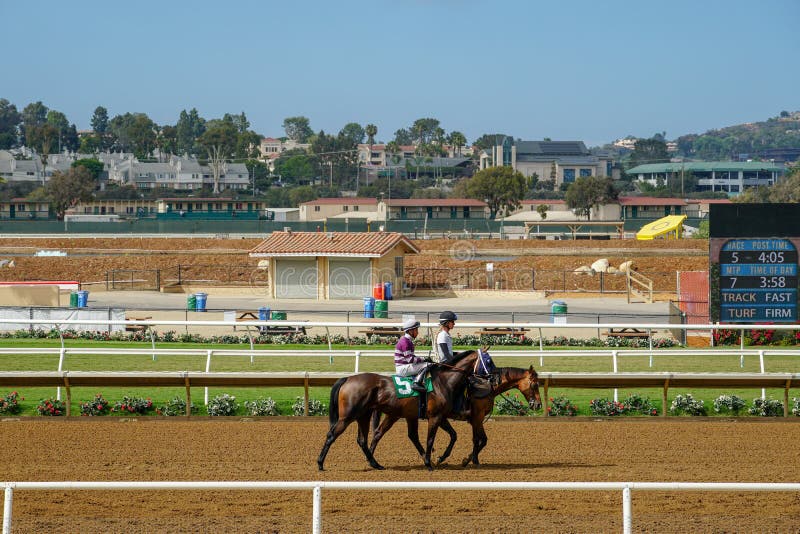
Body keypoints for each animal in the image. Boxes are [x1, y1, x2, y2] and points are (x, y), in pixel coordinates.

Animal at [318, 352, 482, 474]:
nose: (488, 377)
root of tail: (347, 378)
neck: (442, 382)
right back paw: (320, 463)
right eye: (486, 360)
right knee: (332, 435)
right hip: (348, 416)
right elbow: (430, 439)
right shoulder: (435, 416)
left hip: (365, 415)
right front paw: (429, 463)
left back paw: (375, 463)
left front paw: (439, 458)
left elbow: (452, 435)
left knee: (363, 439)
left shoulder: (435, 416)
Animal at [370, 364, 544, 468]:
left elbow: (474, 438)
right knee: (382, 433)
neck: (487, 387)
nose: (538, 405)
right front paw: (471, 460)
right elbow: (478, 439)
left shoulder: (466, 419)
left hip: (404, 415)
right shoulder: (476, 417)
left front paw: (466, 458)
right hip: (397, 415)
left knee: (405, 435)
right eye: (535, 384)